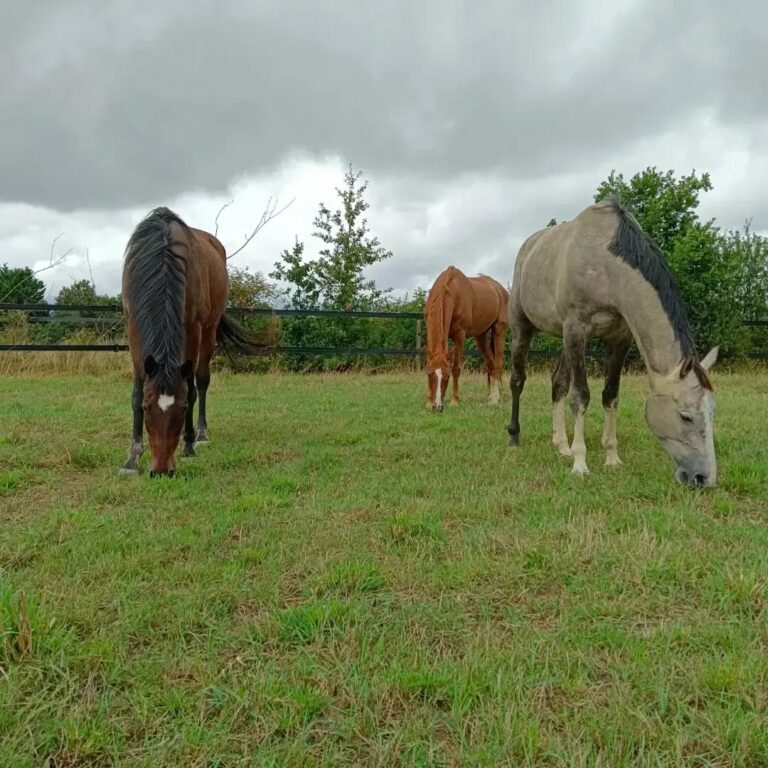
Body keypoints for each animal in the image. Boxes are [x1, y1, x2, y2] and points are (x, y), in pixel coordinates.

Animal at [119, 207, 264, 477]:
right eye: (147, 408)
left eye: (183, 407)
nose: (161, 471)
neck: (162, 255)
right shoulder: (133, 325)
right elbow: (135, 392)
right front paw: (132, 459)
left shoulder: (193, 328)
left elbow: (191, 386)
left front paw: (188, 446)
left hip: (209, 330)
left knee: (202, 380)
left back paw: (201, 434)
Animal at [424, 266, 509, 411]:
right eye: (430, 375)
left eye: (447, 376)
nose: (438, 407)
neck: (451, 292)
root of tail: (500, 290)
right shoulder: (430, 330)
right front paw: (429, 402)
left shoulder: (460, 335)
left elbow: (456, 368)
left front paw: (455, 401)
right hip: (480, 335)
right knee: (491, 363)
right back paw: (490, 396)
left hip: (499, 329)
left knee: (497, 364)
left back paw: (495, 399)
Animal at [506, 196, 718, 488]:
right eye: (685, 416)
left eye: (712, 412)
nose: (705, 478)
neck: (608, 269)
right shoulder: (577, 330)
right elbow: (581, 397)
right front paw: (580, 464)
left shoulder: (619, 339)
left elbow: (610, 396)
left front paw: (611, 457)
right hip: (522, 327)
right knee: (518, 380)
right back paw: (515, 437)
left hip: (564, 338)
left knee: (558, 384)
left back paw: (562, 445)